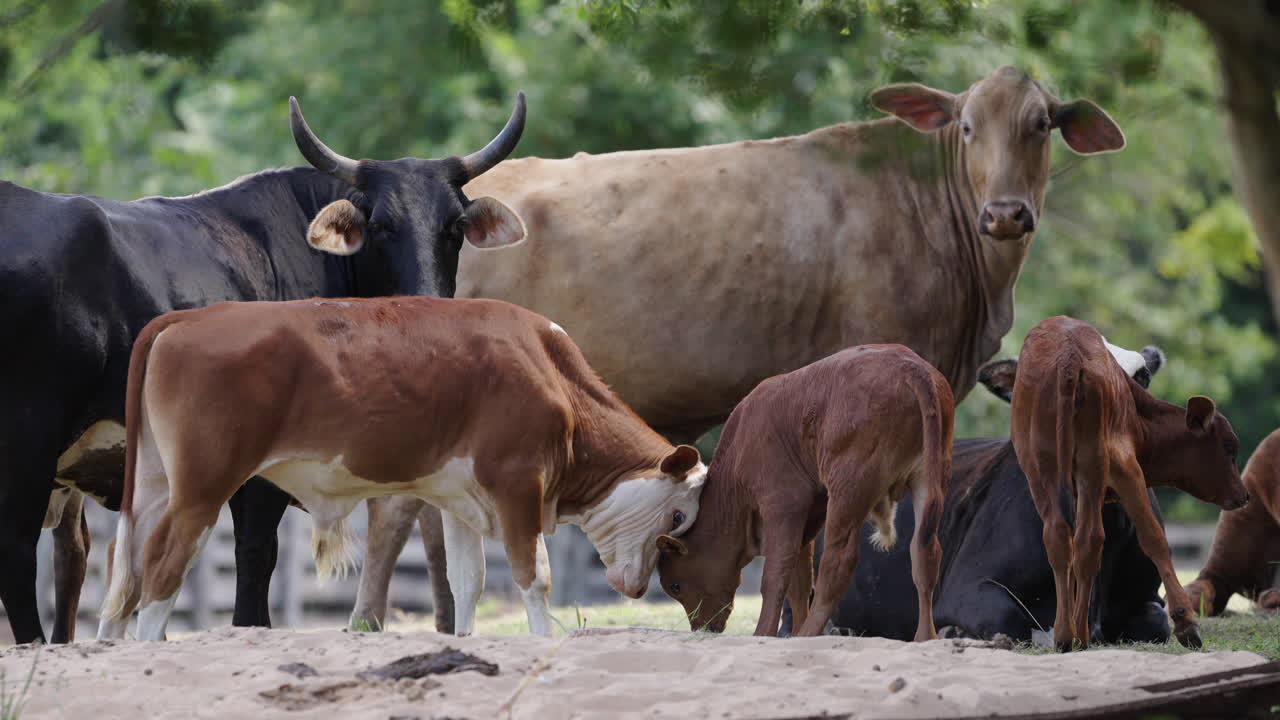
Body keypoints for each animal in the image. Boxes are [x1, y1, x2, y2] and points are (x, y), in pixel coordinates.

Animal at [0, 93, 527, 644]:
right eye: (382, 225)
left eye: (455, 226)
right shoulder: (261, 474)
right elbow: (255, 562)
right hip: (30, 434)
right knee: (17, 547)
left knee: (71, 553)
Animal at [96, 297, 706, 641]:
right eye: (678, 516)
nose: (636, 588)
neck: (551, 372)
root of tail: (189, 317)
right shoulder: (517, 487)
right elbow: (535, 577)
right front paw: (540, 641)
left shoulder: (462, 499)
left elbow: (468, 581)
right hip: (200, 490)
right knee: (162, 561)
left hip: (153, 485)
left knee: (124, 559)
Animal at [655, 345, 954, 639]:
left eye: (675, 585)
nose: (702, 627)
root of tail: (910, 366)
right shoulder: (808, 514)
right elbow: (798, 581)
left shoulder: (784, 505)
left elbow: (776, 574)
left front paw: (764, 633)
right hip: (928, 477)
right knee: (924, 553)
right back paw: (925, 637)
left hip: (849, 489)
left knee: (837, 562)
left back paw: (809, 633)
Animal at [779, 340, 1174, 644]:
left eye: (1141, 378)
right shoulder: (968, 584)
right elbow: (1012, 620)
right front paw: (954, 632)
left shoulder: (1146, 597)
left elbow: (1159, 623)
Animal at [1010, 316, 1250, 650]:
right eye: (1229, 447)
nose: (1244, 494)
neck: (1140, 415)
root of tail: (1068, 354)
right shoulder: (1127, 467)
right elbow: (1155, 539)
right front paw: (1186, 622)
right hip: (1098, 461)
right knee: (1090, 540)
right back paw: (1079, 635)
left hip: (1040, 464)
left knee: (1060, 538)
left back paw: (1066, 635)